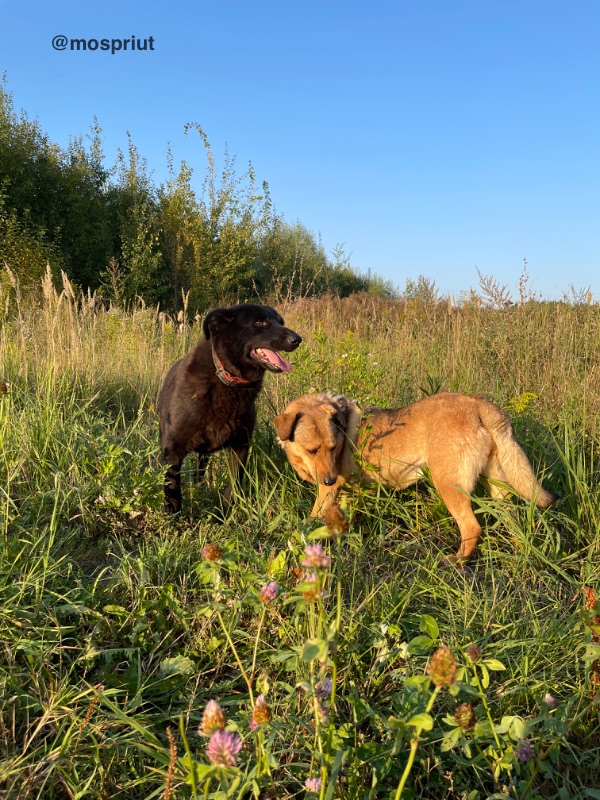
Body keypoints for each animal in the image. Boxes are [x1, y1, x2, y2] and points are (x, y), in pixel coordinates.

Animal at [159, 304, 300, 516]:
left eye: (280, 322)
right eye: (259, 322)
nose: (297, 339)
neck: (228, 381)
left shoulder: (240, 446)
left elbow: (233, 487)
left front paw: (222, 516)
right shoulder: (172, 450)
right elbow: (173, 492)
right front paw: (173, 519)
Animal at [274, 392, 556, 564]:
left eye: (333, 448)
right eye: (313, 450)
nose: (329, 479)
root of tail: (479, 405)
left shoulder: (328, 492)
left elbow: (311, 519)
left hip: (449, 486)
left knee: (471, 527)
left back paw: (457, 561)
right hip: (498, 490)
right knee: (514, 520)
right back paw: (520, 551)